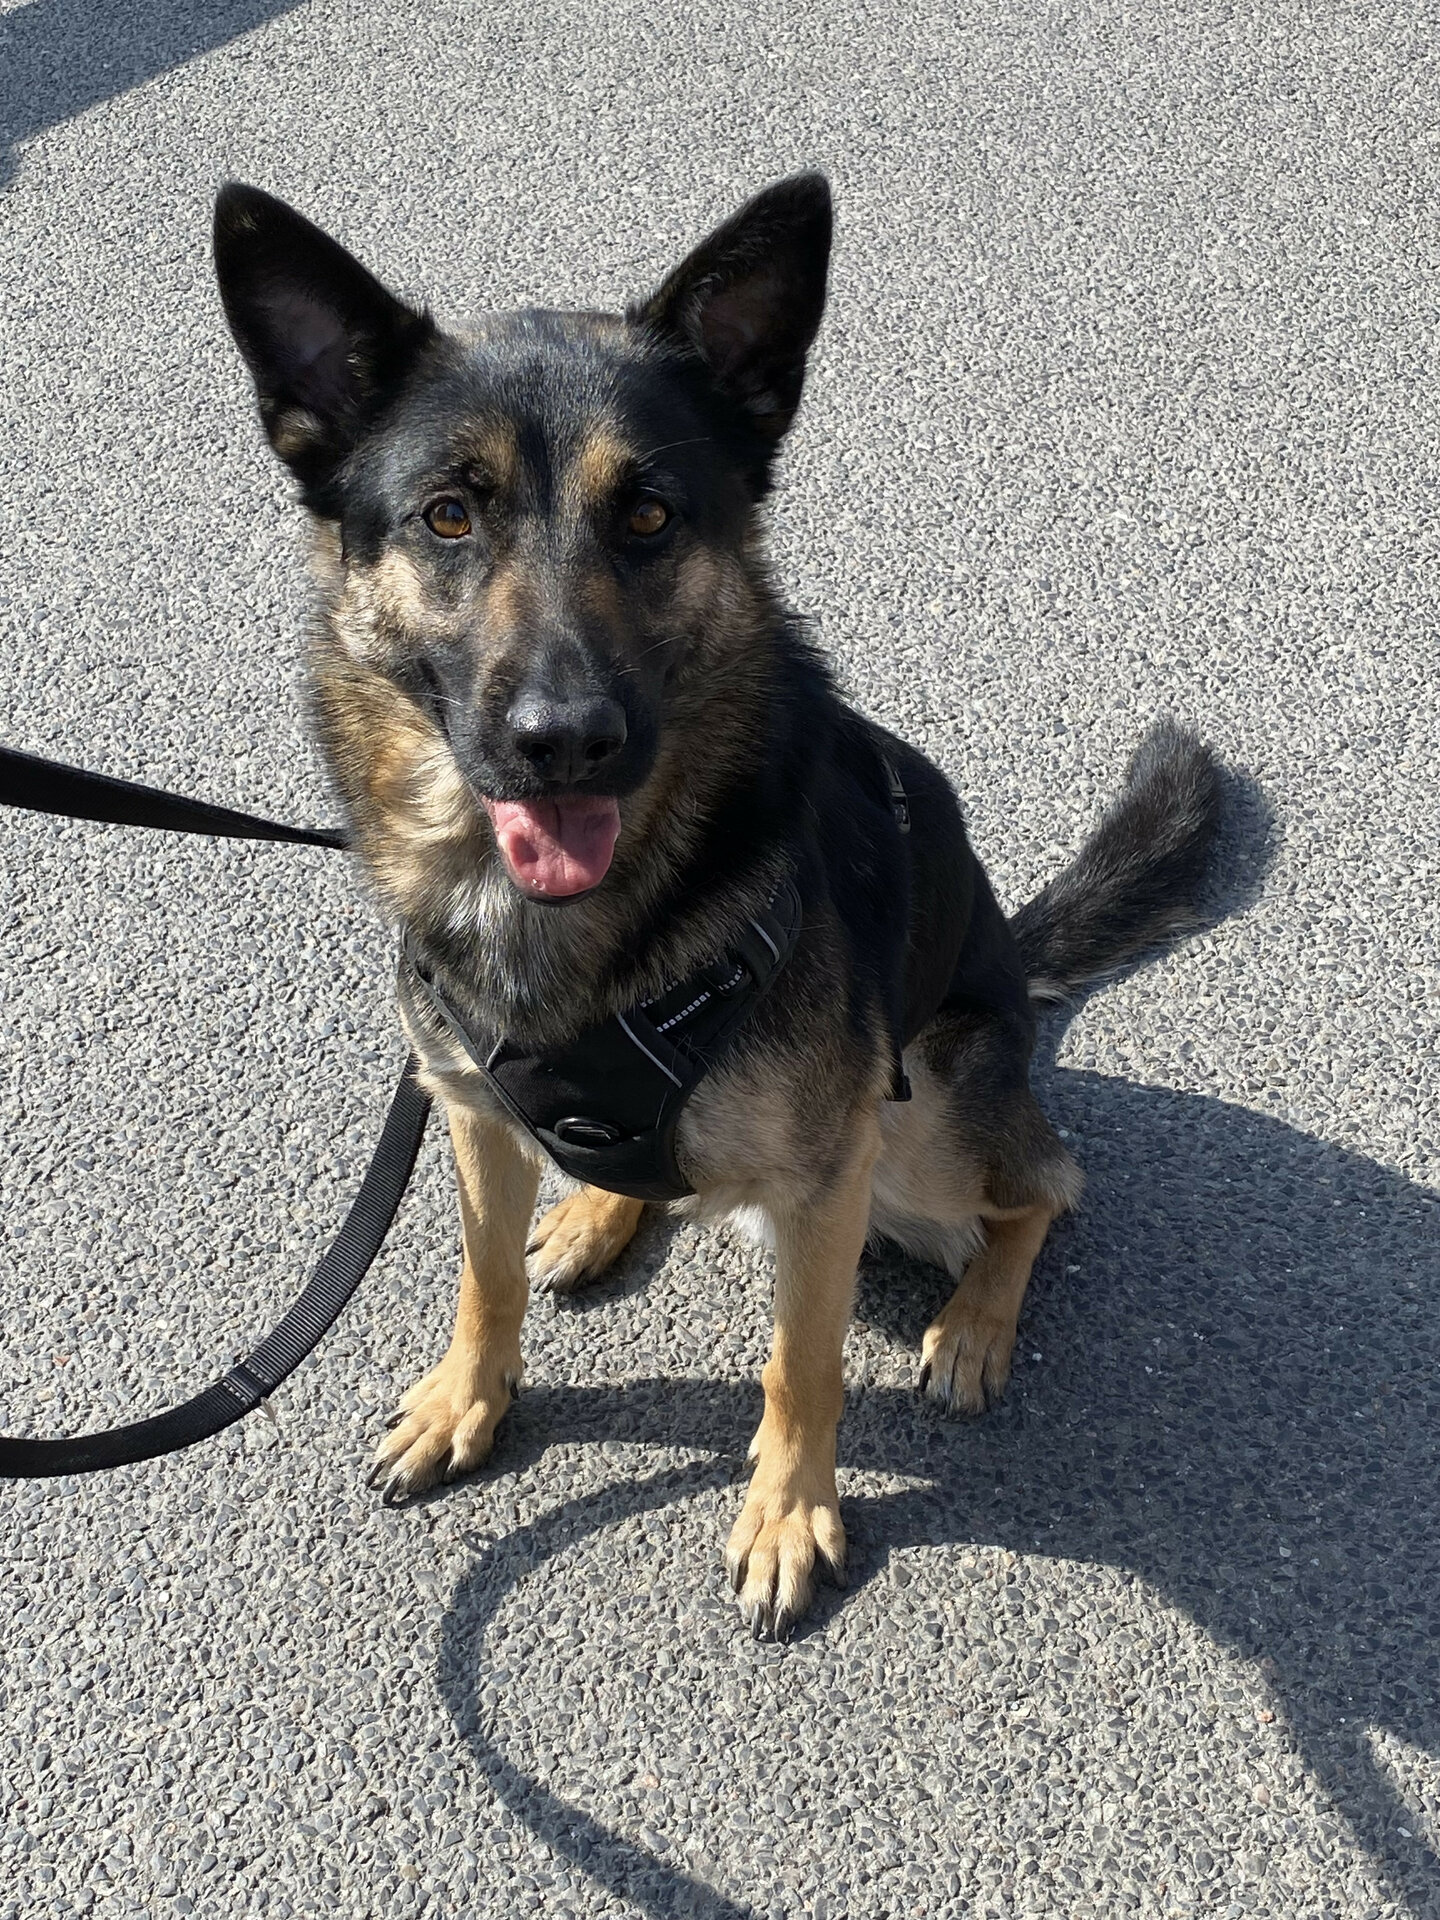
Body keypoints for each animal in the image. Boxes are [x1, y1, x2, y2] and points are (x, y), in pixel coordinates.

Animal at [212, 173, 1221, 1638]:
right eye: (449, 516)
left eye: (648, 517)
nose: (564, 741)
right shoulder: (471, 1115)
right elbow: (482, 1276)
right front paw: (469, 1399)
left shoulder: (827, 1180)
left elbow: (802, 1369)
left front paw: (789, 1516)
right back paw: (596, 1208)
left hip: (923, 1116)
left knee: (1046, 1186)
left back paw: (978, 1319)